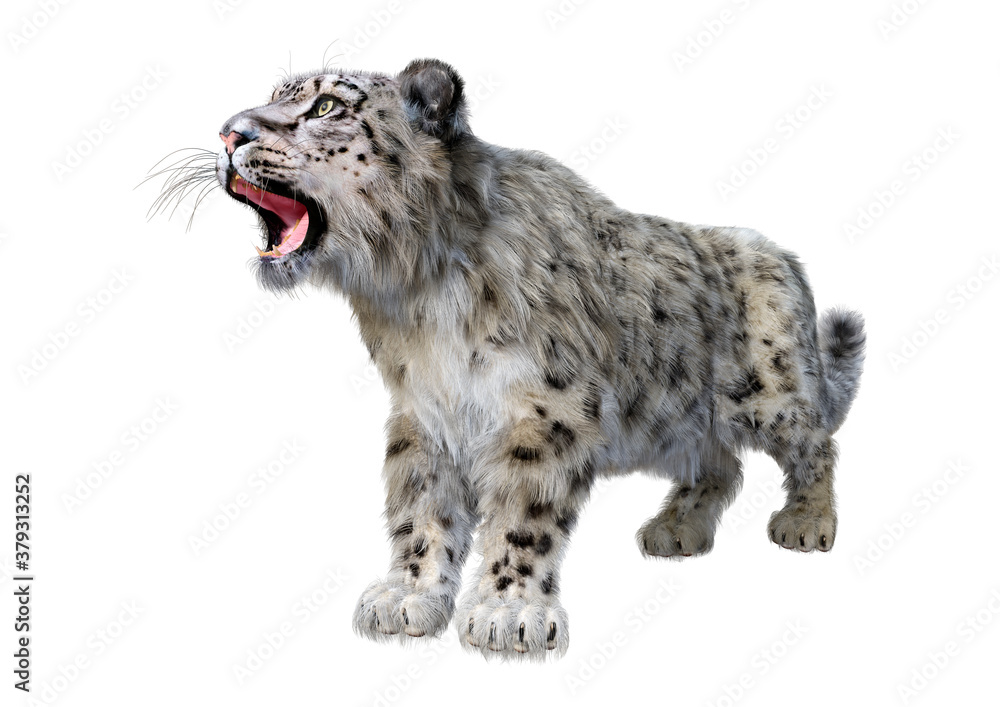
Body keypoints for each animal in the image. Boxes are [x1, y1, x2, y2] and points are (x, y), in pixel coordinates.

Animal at [157, 58, 865, 661]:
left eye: (328, 105)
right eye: (278, 95)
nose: (229, 132)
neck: (414, 297)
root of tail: (784, 259)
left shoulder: (544, 409)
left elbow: (524, 515)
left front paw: (507, 612)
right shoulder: (425, 413)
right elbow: (420, 507)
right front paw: (409, 595)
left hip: (768, 393)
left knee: (816, 443)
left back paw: (806, 522)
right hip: (676, 420)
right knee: (719, 465)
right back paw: (676, 530)